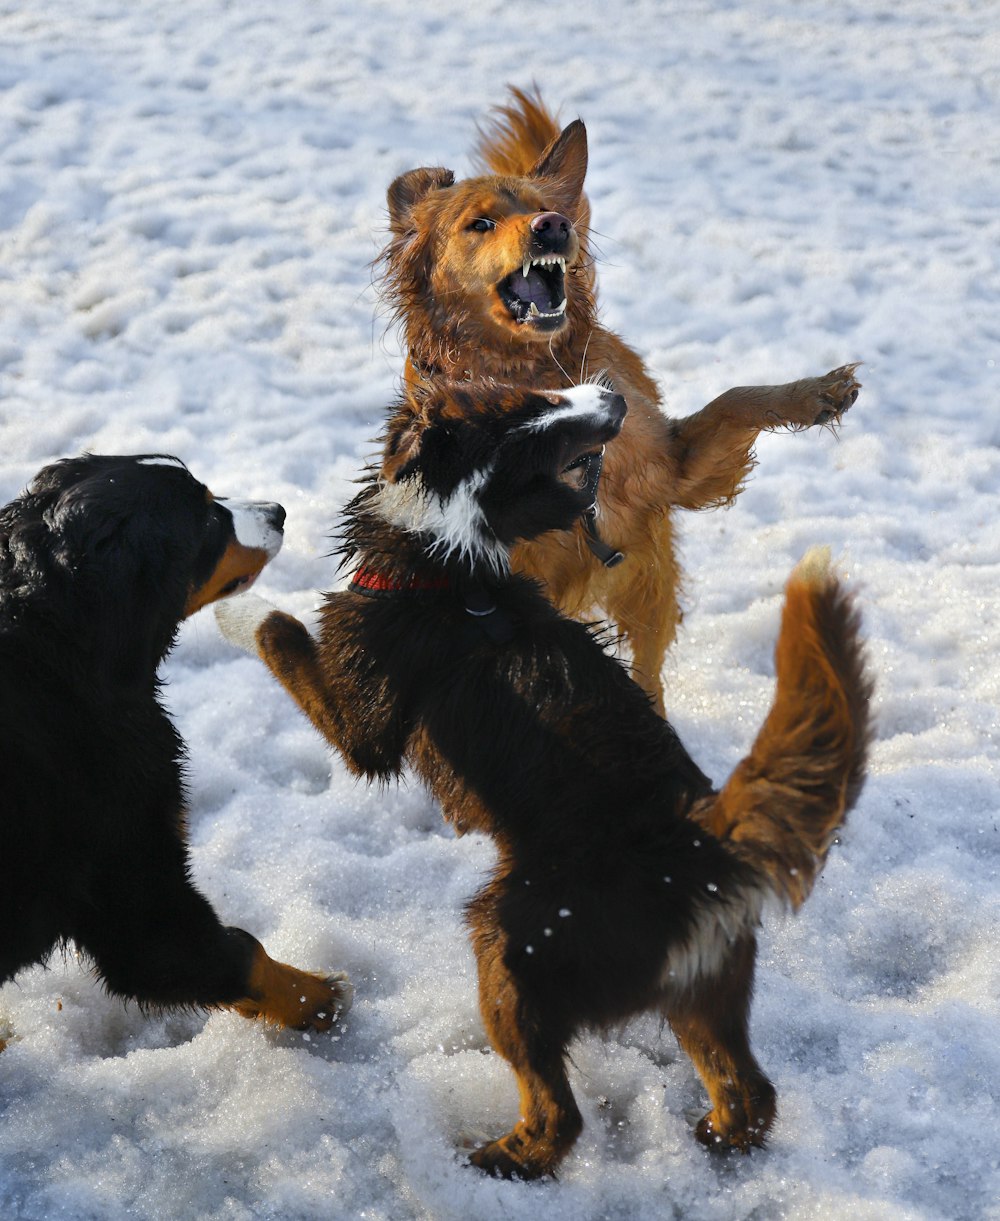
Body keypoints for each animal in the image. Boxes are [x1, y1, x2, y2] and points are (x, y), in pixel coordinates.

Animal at [0, 454, 354, 1045]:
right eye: (207, 520)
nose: (279, 511)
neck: (60, 653)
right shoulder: (130, 872)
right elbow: (234, 955)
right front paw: (319, 998)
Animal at [380, 88, 859, 713]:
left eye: (541, 207)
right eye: (479, 223)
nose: (553, 225)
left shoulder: (675, 472)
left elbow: (737, 398)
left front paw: (815, 393)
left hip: (650, 580)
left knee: (648, 670)